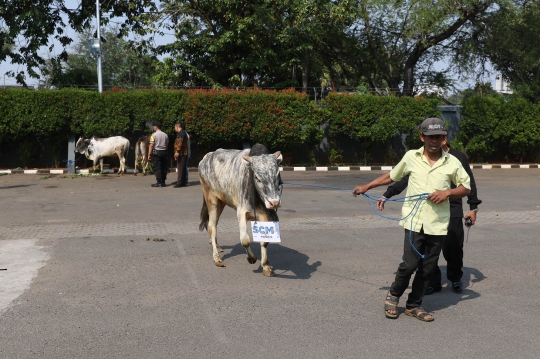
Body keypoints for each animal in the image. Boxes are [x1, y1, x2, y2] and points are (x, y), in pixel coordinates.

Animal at [198, 146, 282, 278]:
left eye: (277, 175)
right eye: (257, 178)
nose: (275, 202)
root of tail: (207, 157)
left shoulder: (266, 216)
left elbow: (264, 241)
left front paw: (266, 267)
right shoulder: (241, 213)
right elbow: (245, 240)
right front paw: (252, 258)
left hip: (221, 202)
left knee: (215, 224)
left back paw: (216, 245)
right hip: (211, 200)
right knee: (211, 226)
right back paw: (216, 258)